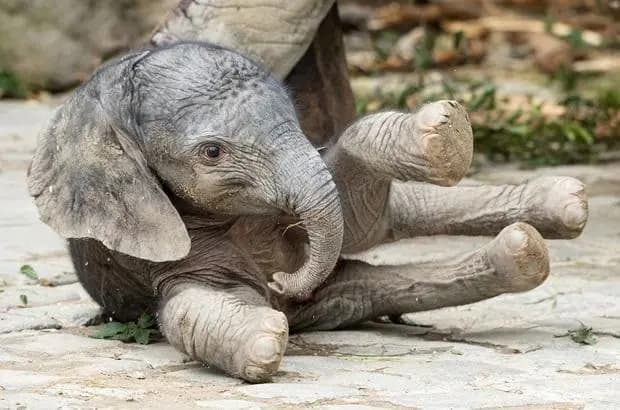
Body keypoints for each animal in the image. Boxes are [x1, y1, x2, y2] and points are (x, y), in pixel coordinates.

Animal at [27, 40, 588, 382]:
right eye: (212, 153)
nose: (280, 283)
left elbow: (355, 191)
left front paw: (443, 137)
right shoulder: (149, 248)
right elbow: (185, 308)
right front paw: (263, 339)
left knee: (391, 216)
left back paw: (558, 205)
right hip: (336, 300)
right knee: (369, 283)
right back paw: (524, 250)